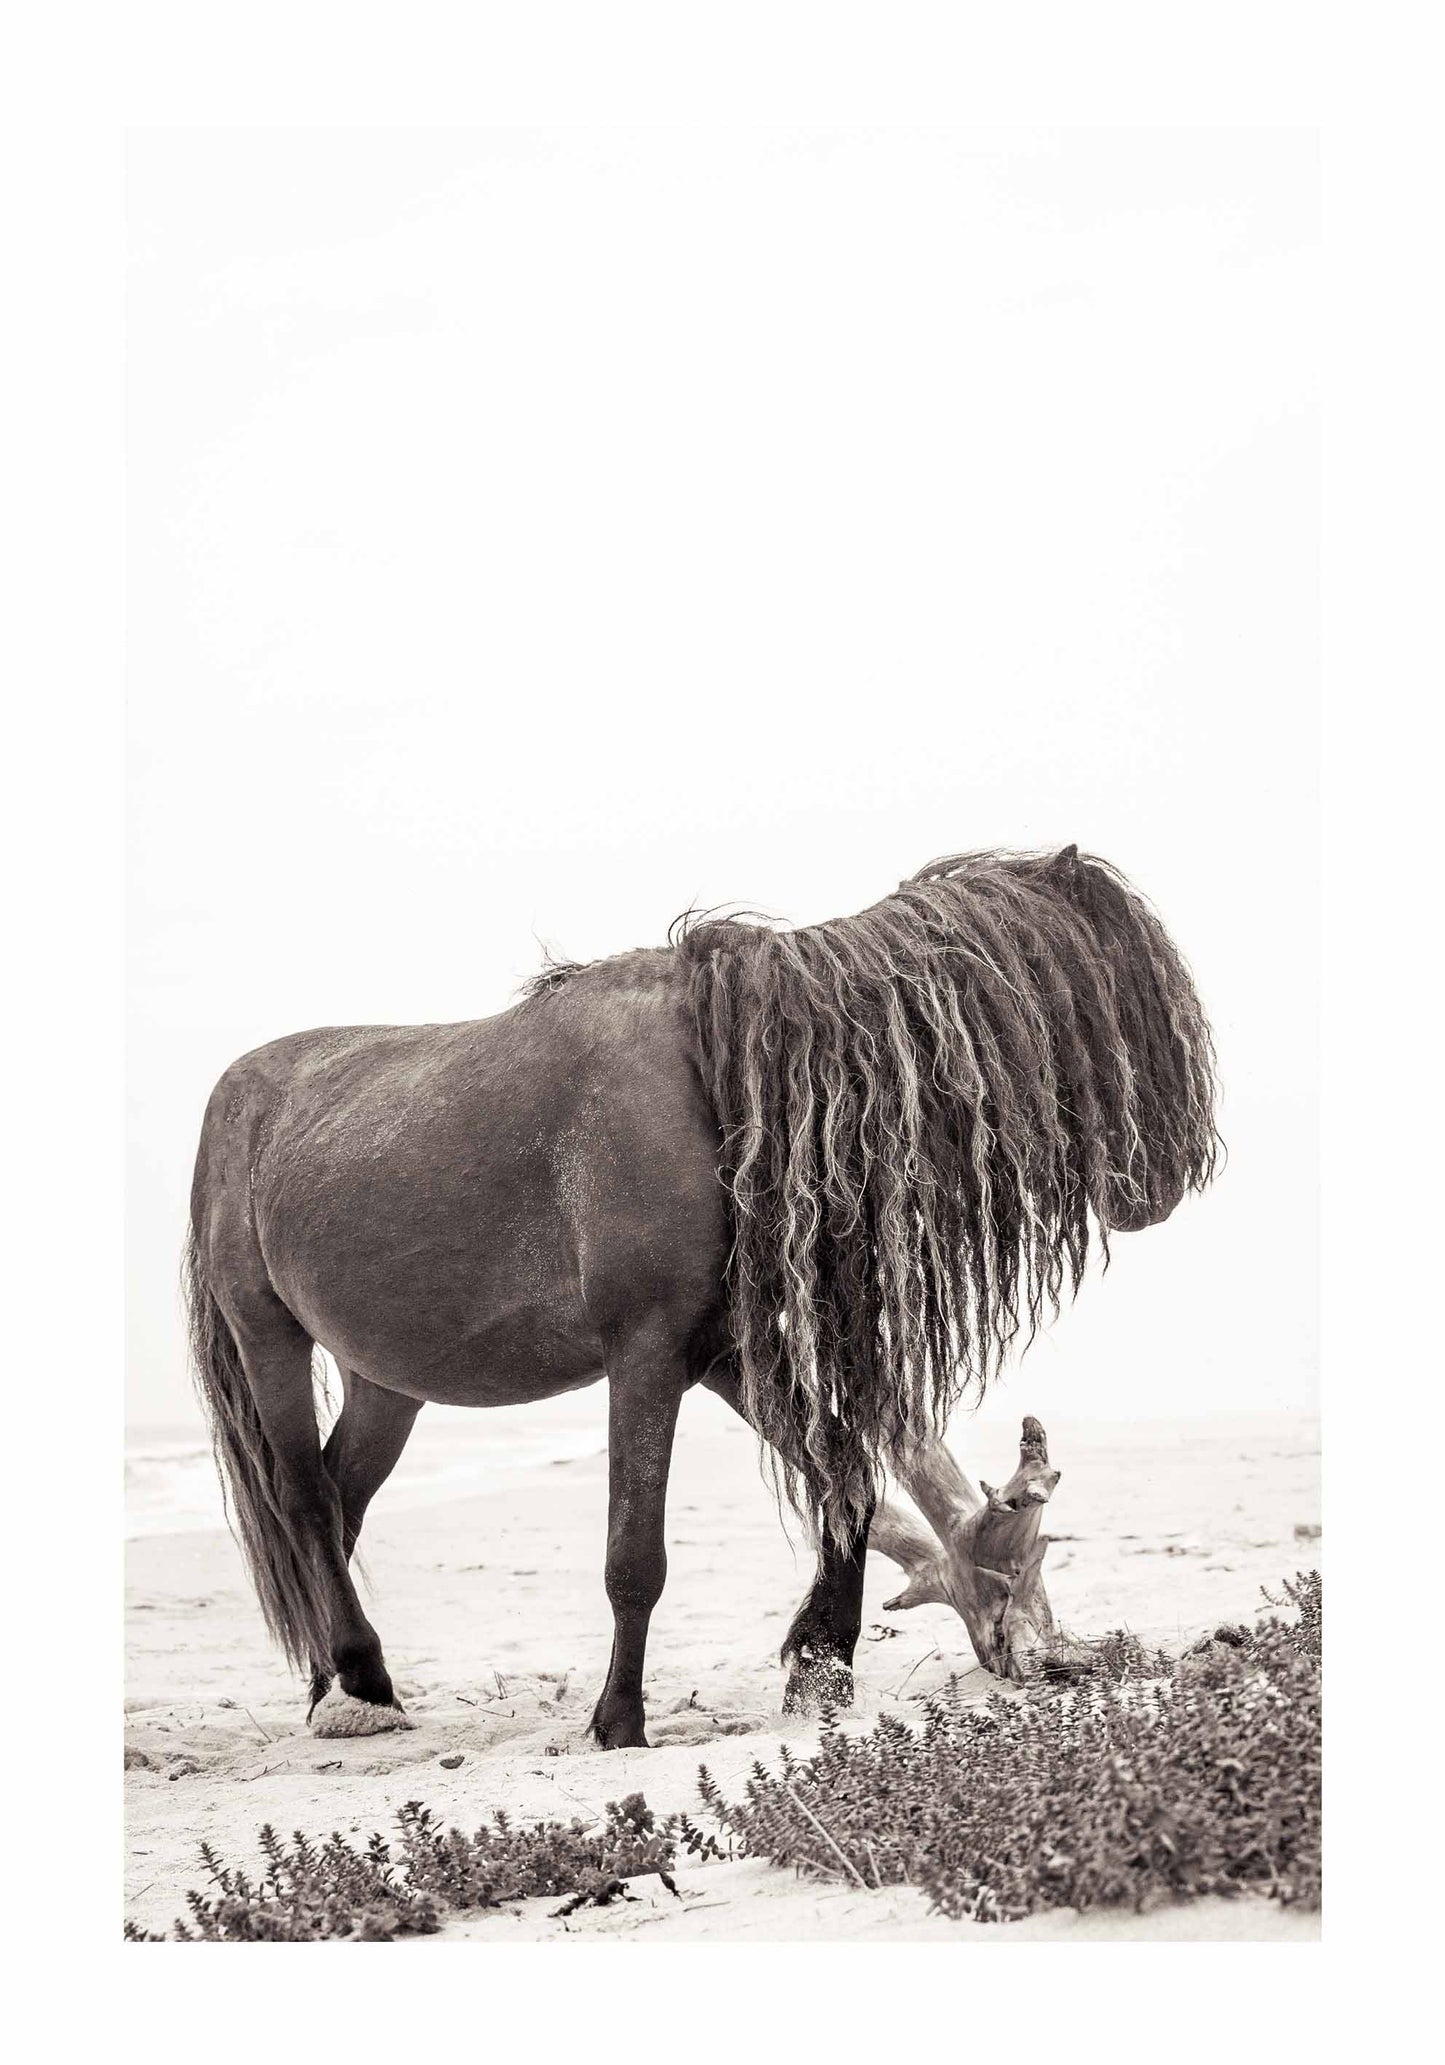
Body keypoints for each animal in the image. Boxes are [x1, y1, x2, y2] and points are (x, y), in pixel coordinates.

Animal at [185, 845, 1218, 1745]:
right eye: (1105, 979)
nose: (1166, 1181)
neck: (721, 1082)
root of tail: (232, 1092)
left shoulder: (718, 1350)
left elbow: (842, 1477)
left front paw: (820, 1664)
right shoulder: (644, 1351)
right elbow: (634, 1555)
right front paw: (618, 1721)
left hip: (385, 1379)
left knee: (341, 1499)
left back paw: (340, 1685)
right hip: (268, 1335)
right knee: (305, 1498)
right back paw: (358, 1679)